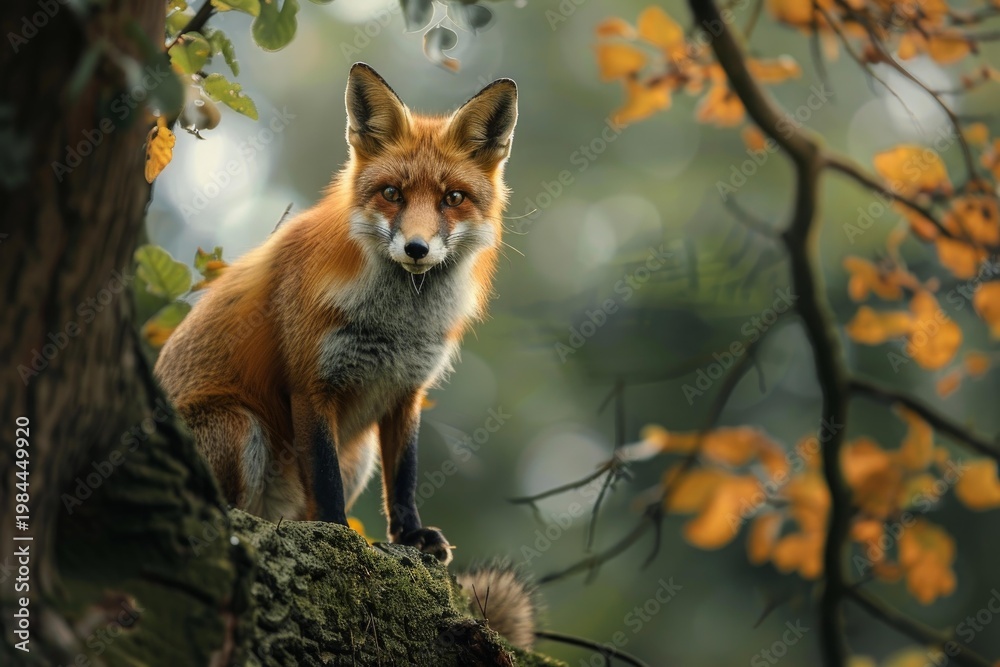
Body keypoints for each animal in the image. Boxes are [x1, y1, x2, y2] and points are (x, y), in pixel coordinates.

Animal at [154, 63, 517, 566]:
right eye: (392, 193)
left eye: (453, 198)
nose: (417, 248)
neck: (397, 325)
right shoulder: (310, 383)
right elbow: (325, 481)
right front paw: (336, 534)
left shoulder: (406, 390)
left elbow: (403, 478)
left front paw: (411, 536)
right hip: (238, 424)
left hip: (358, 455)